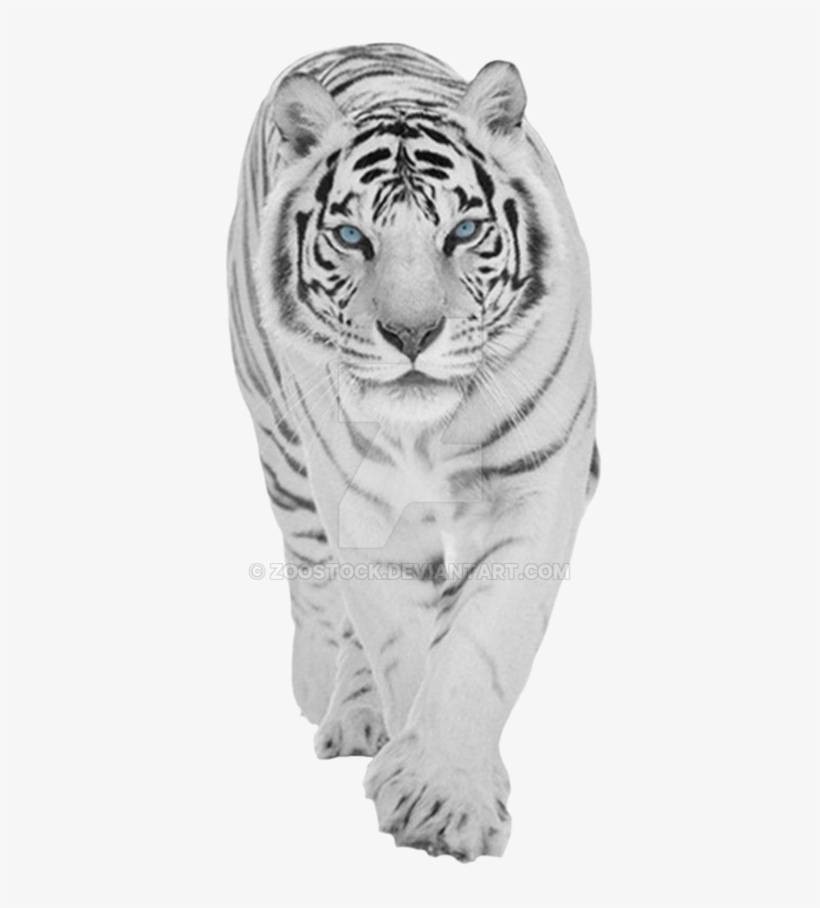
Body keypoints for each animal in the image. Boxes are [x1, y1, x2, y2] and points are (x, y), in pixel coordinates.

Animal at [227, 43, 599, 861]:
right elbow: (397, 633)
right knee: (315, 579)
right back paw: (333, 699)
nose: (411, 334)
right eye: (351, 238)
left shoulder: (538, 484)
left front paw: (445, 800)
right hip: (281, 445)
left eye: (463, 232)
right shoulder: (363, 506)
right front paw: (425, 778)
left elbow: (480, 641)